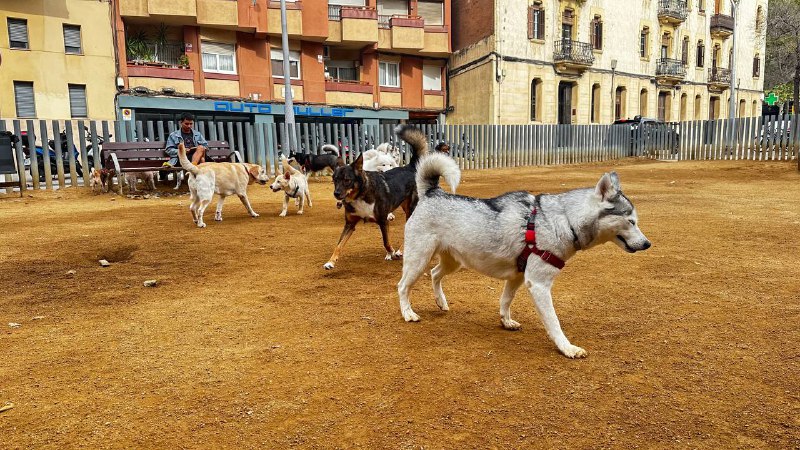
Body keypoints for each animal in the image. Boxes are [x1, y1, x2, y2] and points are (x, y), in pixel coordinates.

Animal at [322, 125, 428, 268]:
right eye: (334, 180)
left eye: (347, 180)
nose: (336, 194)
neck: (361, 195)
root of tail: (409, 167)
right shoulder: (350, 224)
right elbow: (339, 245)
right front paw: (330, 262)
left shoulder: (383, 220)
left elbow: (386, 242)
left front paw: (392, 252)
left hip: (411, 210)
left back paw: (399, 251)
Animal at [396, 154, 652, 358]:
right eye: (631, 221)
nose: (647, 244)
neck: (565, 220)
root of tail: (433, 193)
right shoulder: (538, 284)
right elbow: (554, 322)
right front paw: (567, 348)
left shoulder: (517, 277)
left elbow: (505, 300)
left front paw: (505, 320)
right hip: (418, 259)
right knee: (403, 286)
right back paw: (408, 313)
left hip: (453, 261)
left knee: (435, 274)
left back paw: (441, 302)